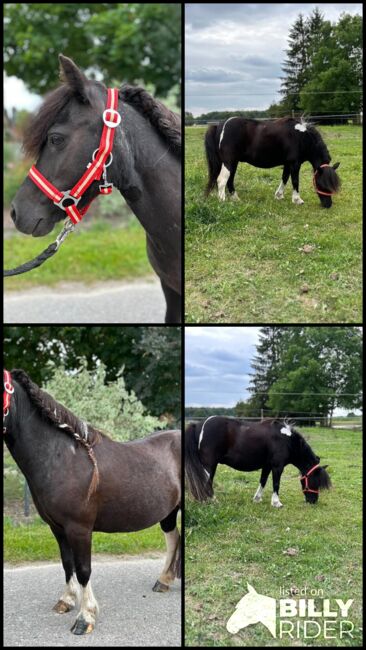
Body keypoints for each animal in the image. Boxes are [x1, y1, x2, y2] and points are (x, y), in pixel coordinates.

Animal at [2, 370, 180, 632]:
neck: (61, 458)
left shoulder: (79, 529)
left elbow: (83, 569)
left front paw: (85, 617)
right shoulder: (57, 528)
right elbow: (67, 564)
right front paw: (66, 601)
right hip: (168, 512)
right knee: (173, 537)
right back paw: (164, 581)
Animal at [184, 416, 330, 506]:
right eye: (314, 480)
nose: (313, 501)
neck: (286, 440)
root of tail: (199, 425)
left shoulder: (267, 466)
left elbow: (263, 481)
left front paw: (257, 499)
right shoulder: (277, 466)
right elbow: (276, 484)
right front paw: (276, 503)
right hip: (209, 465)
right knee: (206, 482)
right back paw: (212, 501)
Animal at [206, 116, 340, 208]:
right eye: (321, 183)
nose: (328, 205)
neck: (301, 138)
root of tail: (220, 125)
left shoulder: (288, 164)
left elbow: (284, 178)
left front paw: (279, 195)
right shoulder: (295, 164)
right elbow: (295, 181)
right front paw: (297, 200)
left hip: (234, 162)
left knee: (230, 180)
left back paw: (235, 199)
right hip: (229, 162)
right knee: (222, 180)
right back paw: (222, 201)